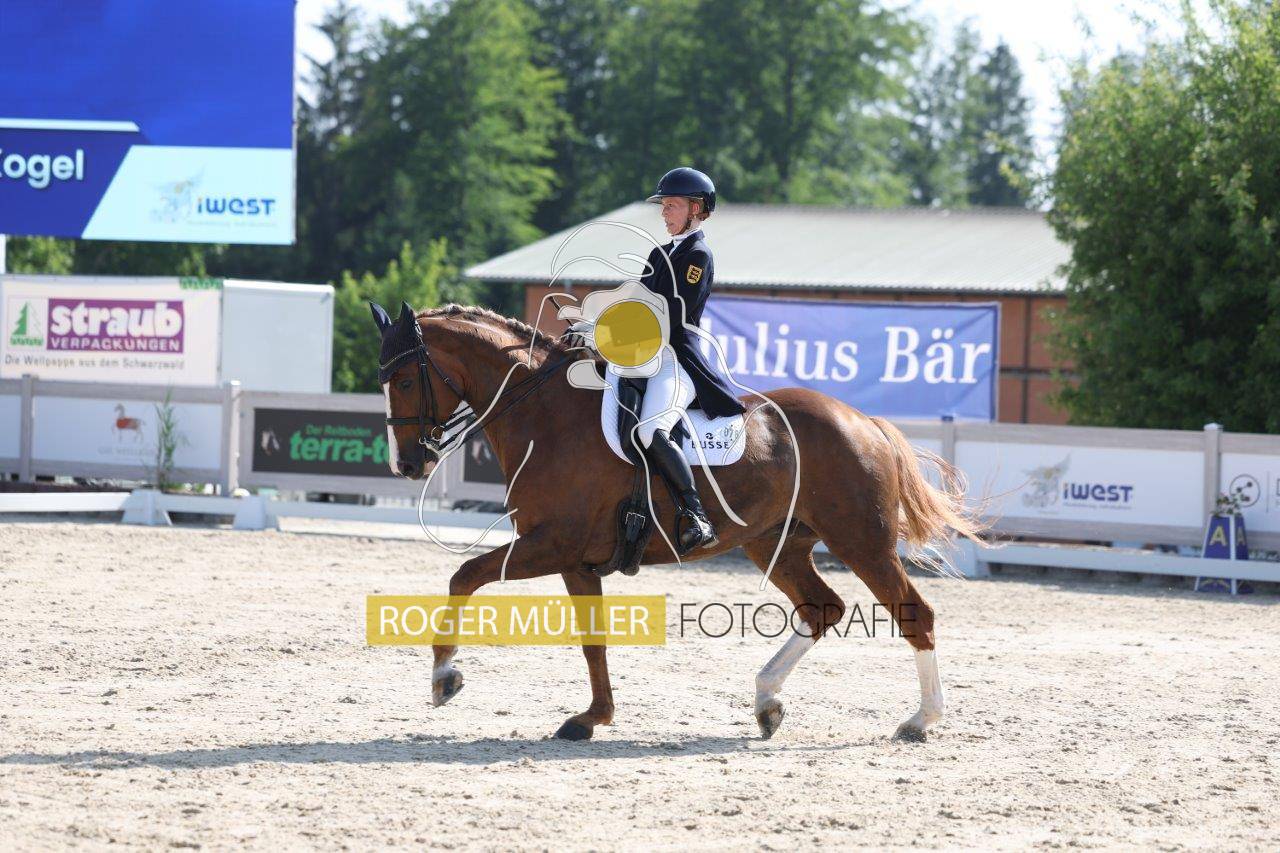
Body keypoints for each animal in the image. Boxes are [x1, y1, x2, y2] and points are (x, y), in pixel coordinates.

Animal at [373, 301, 983, 742]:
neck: (545, 416)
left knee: (914, 614)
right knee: (822, 608)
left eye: (402, 381)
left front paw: (444, 677)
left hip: (862, 542)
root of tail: (863, 421)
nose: (407, 465)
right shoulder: (575, 560)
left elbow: (465, 577)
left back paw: (921, 721)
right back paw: (767, 701)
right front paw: (592, 718)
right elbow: (593, 642)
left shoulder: (549, 544)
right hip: (777, 545)